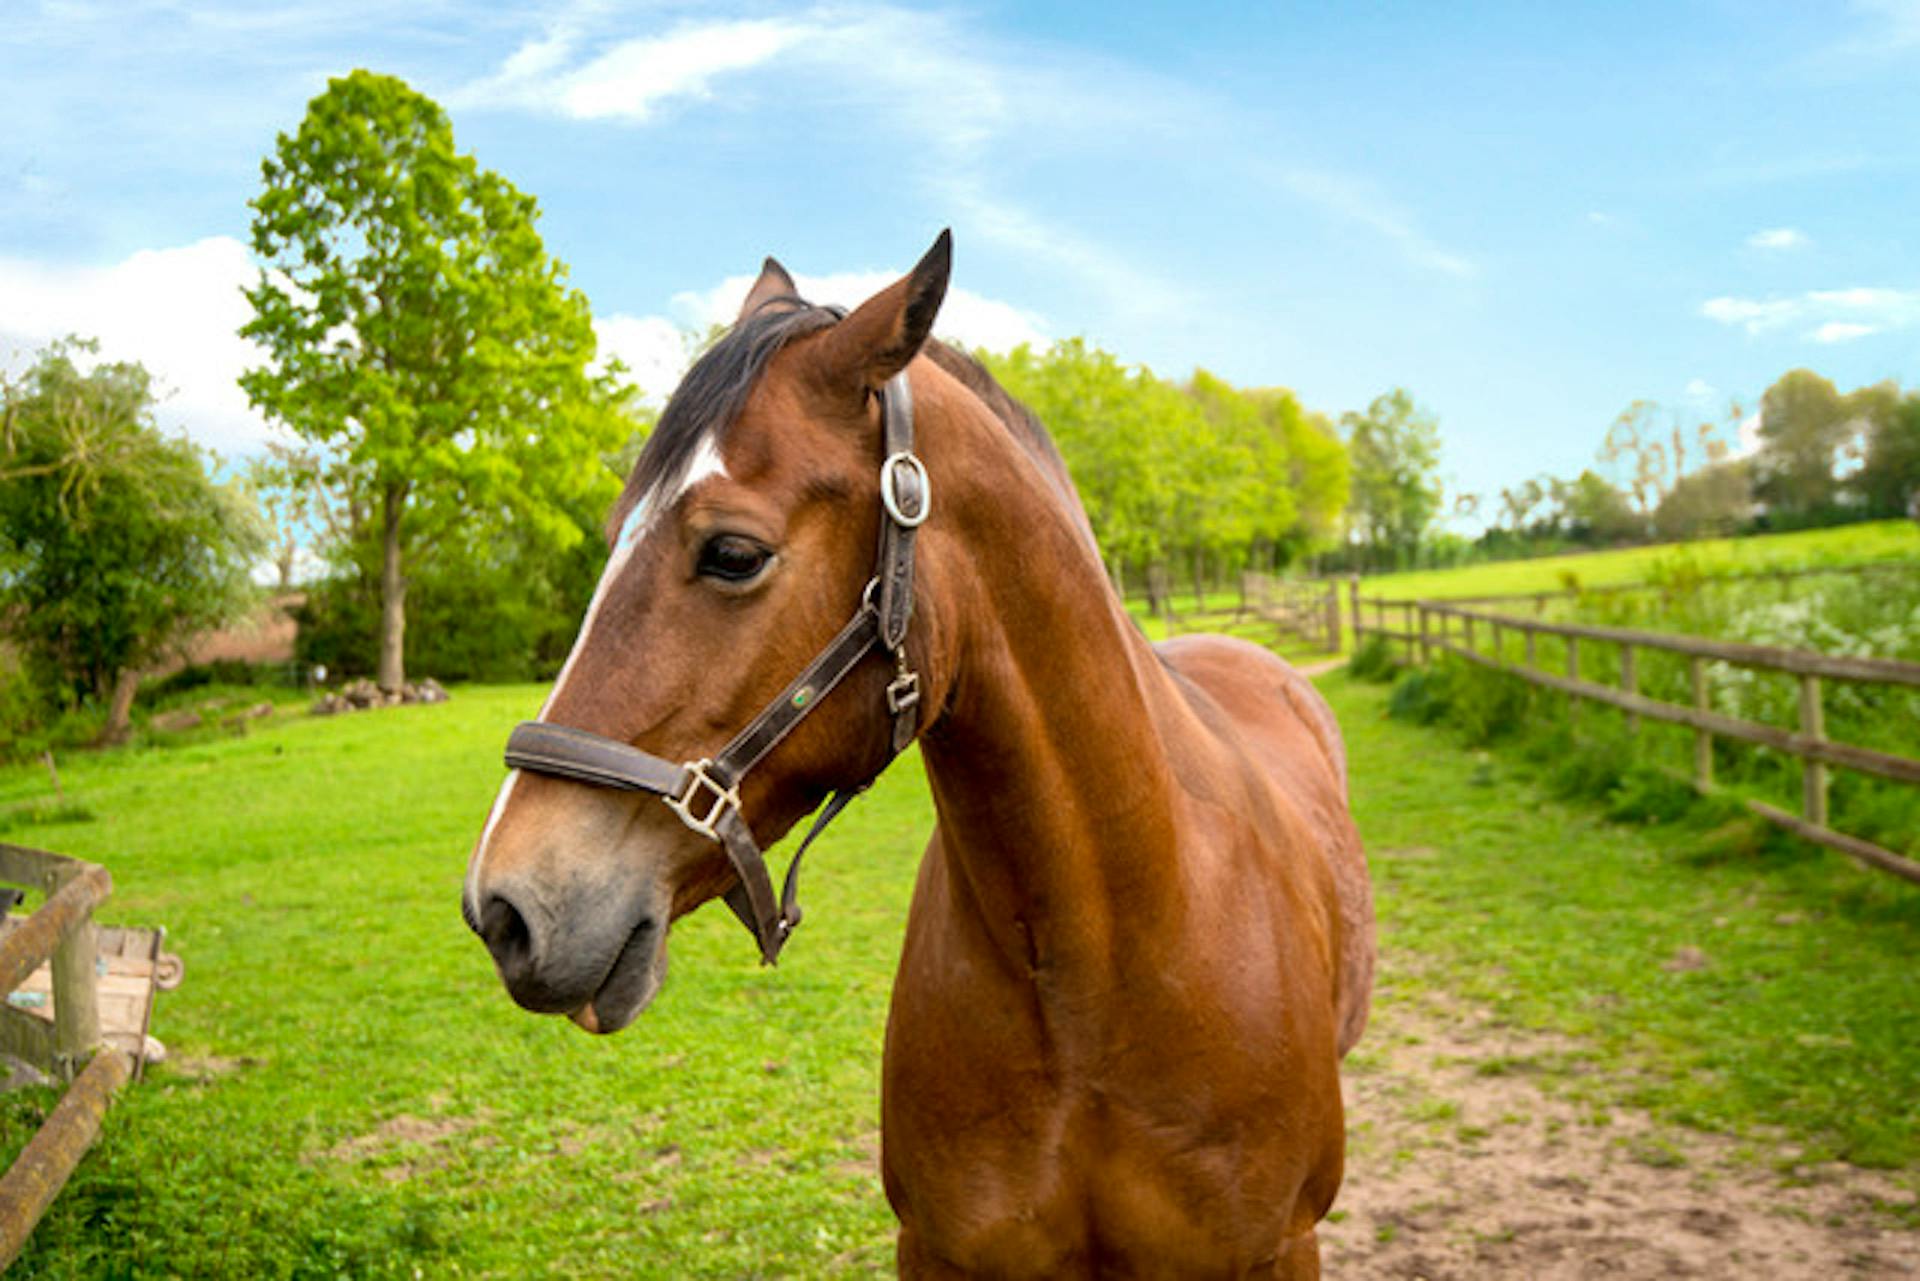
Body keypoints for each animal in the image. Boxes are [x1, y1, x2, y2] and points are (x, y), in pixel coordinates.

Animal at [463, 231, 1374, 1278]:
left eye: (732, 553)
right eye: (613, 538)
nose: (504, 908)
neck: (1099, 964)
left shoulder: (1277, 1248)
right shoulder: (938, 1249)